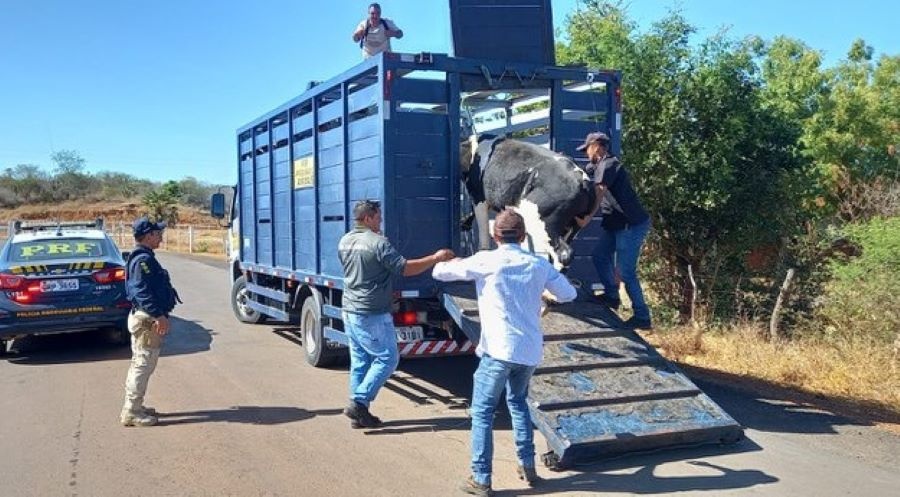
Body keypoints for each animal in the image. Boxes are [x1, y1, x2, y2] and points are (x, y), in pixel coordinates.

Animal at [460, 134, 596, 268]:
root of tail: (581, 181)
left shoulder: (479, 198)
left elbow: (483, 231)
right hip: (574, 225)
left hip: (545, 224)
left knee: (564, 254)